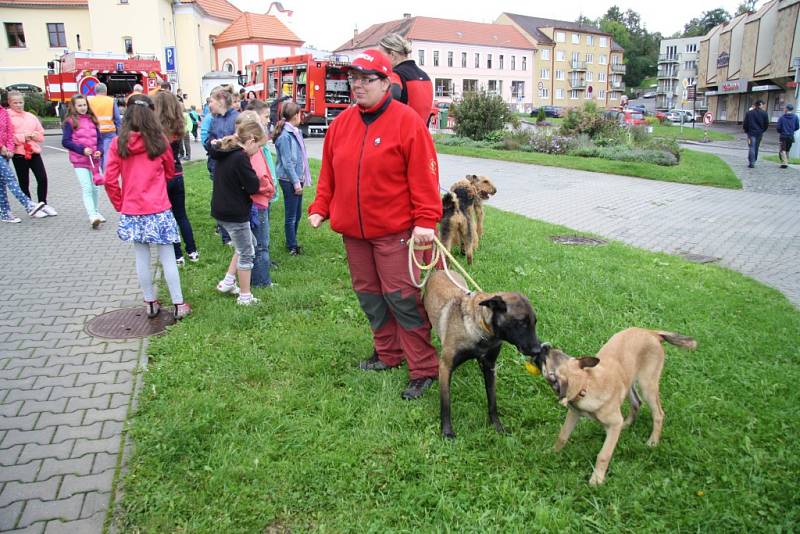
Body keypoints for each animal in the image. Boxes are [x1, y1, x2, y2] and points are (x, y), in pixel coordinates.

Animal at [424, 272, 544, 440]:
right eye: (521, 323)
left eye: (534, 322)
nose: (538, 350)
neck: (481, 330)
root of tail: (439, 271)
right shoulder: (445, 367)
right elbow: (446, 403)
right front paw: (447, 432)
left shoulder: (489, 367)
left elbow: (492, 400)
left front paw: (497, 426)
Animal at [536, 328, 700, 488]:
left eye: (546, 363)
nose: (545, 346)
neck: (587, 385)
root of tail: (652, 332)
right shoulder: (574, 413)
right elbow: (562, 436)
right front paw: (552, 452)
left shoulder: (613, 423)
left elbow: (604, 455)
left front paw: (597, 479)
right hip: (629, 384)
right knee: (636, 402)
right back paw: (626, 424)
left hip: (647, 385)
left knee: (658, 414)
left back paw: (652, 442)